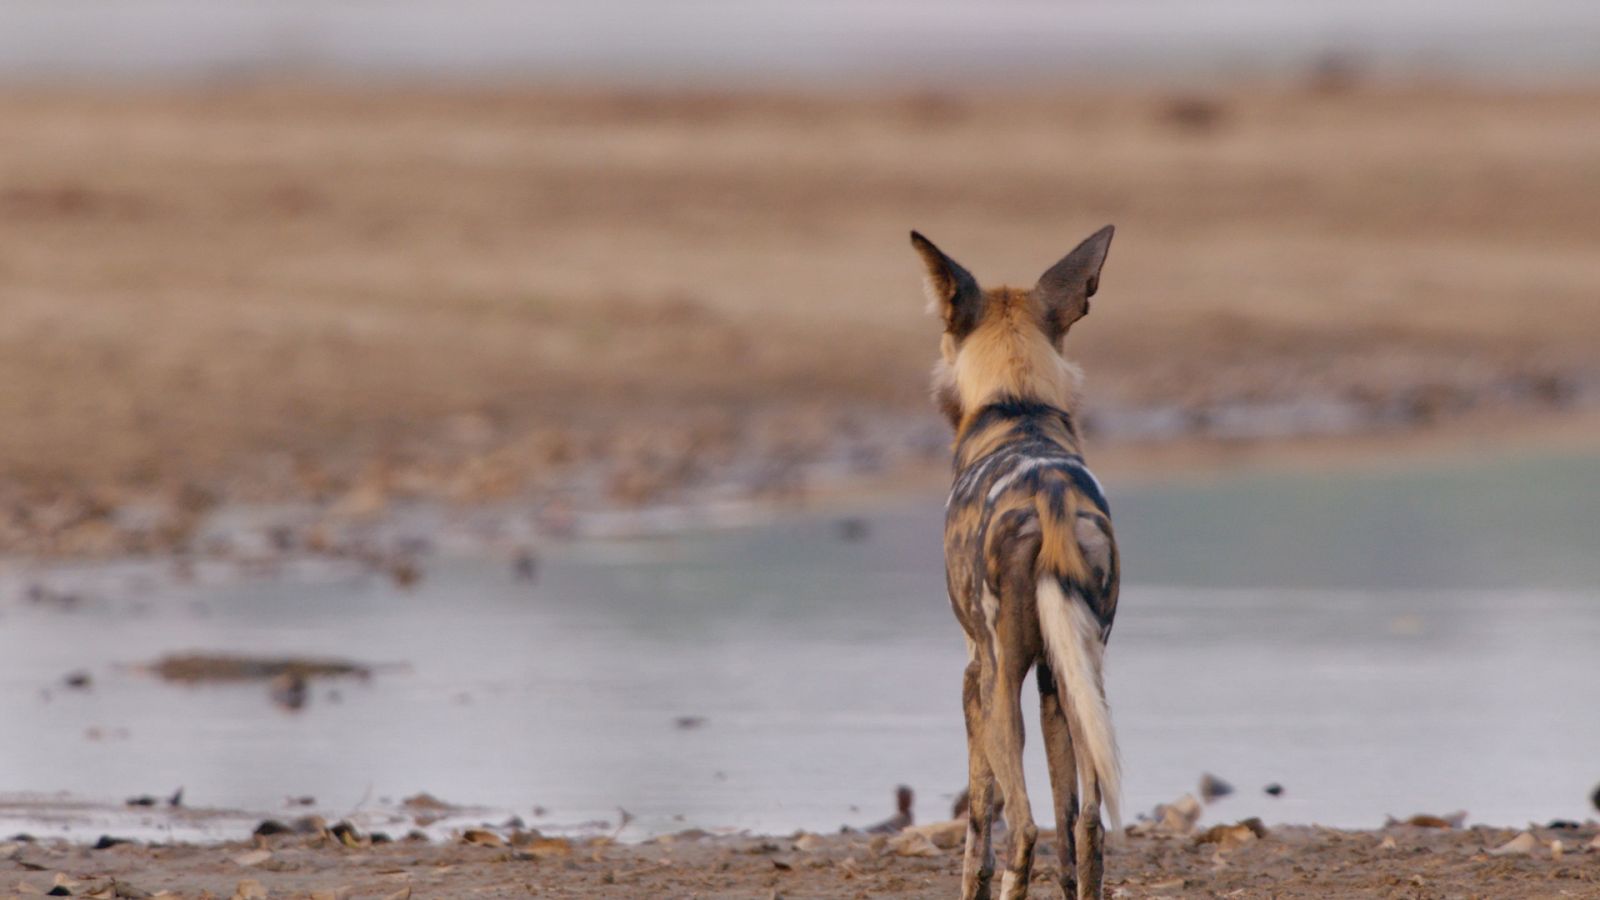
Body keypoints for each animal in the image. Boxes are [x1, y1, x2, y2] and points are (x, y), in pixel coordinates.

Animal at [915, 225, 1126, 896]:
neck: (1017, 403)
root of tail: (1050, 494)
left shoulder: (973, 674)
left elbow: (978, 829)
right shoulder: (1054, 684)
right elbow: (1071, 824)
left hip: (1000, 681)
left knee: (1026, 828)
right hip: (1083, 679)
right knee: (1086, 826)